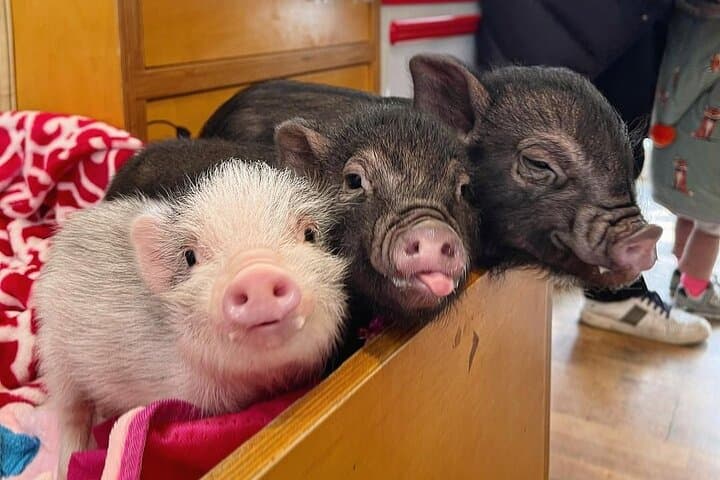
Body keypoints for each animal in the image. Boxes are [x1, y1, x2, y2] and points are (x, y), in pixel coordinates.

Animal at [33, 161, 348, 479]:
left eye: (310, 233)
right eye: (190, 256)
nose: (256, 273)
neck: (263, 382)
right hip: (55, 354)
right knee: (72, 414)